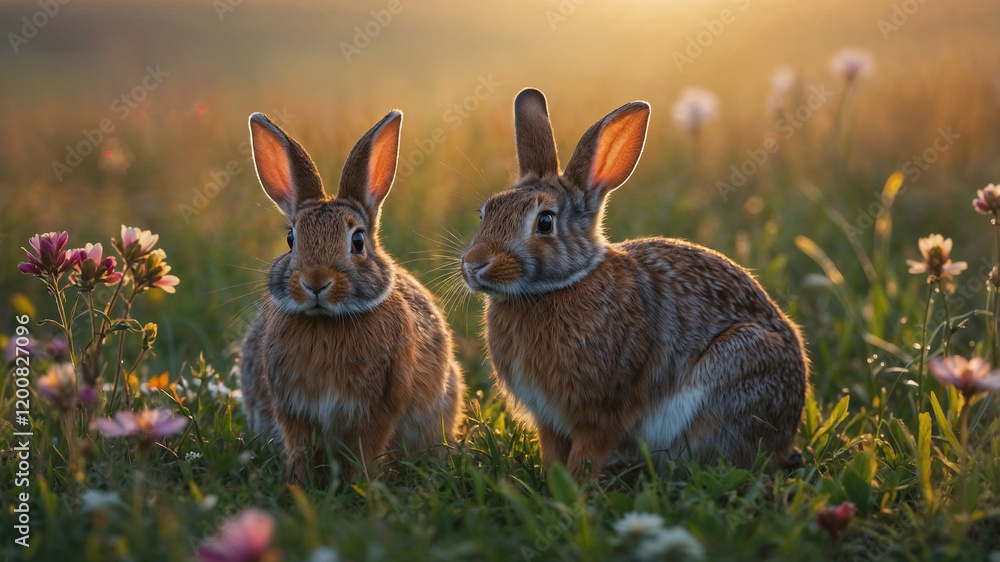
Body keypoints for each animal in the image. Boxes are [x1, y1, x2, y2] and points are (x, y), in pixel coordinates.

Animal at [239, 110, 466, 483]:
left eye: (357, 241)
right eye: (291, 239)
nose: (316, 282)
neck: (326, 323)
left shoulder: (379, 407)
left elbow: (366, 449)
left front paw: (362, 485)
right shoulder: (292, 408)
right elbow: (299, 447)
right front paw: (296, 484)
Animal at [460, 88, 808, 481]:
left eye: (545, 222)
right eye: (485, 213)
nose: (474, 265)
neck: (557, 287)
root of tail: (789, 427)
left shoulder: (602, 411)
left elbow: (588, 453)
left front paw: (575, 487)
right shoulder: (548, 418)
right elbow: (553, 452)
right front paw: (553, 482)